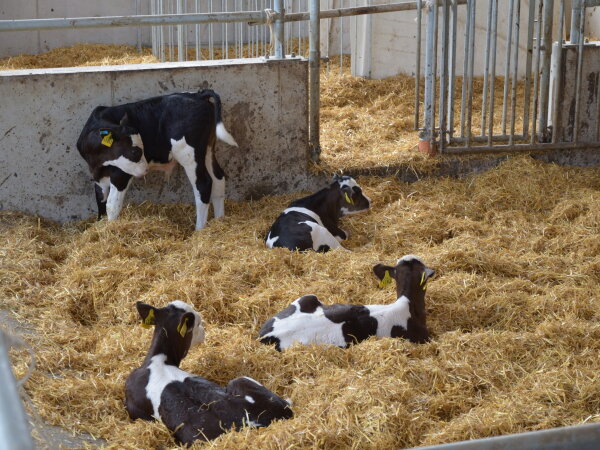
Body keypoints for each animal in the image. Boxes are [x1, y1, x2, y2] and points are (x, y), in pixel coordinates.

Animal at [77, 89, 239, 229]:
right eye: (135, 151)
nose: (145, 170)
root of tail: (198, 95)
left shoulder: (121, 174)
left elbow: (111, 205)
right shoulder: (98, 176)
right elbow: (100, 201)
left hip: (189, 153)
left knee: (203, 184)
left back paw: (199, 230)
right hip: (208, 150)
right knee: (218, 179)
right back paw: (219, 221)